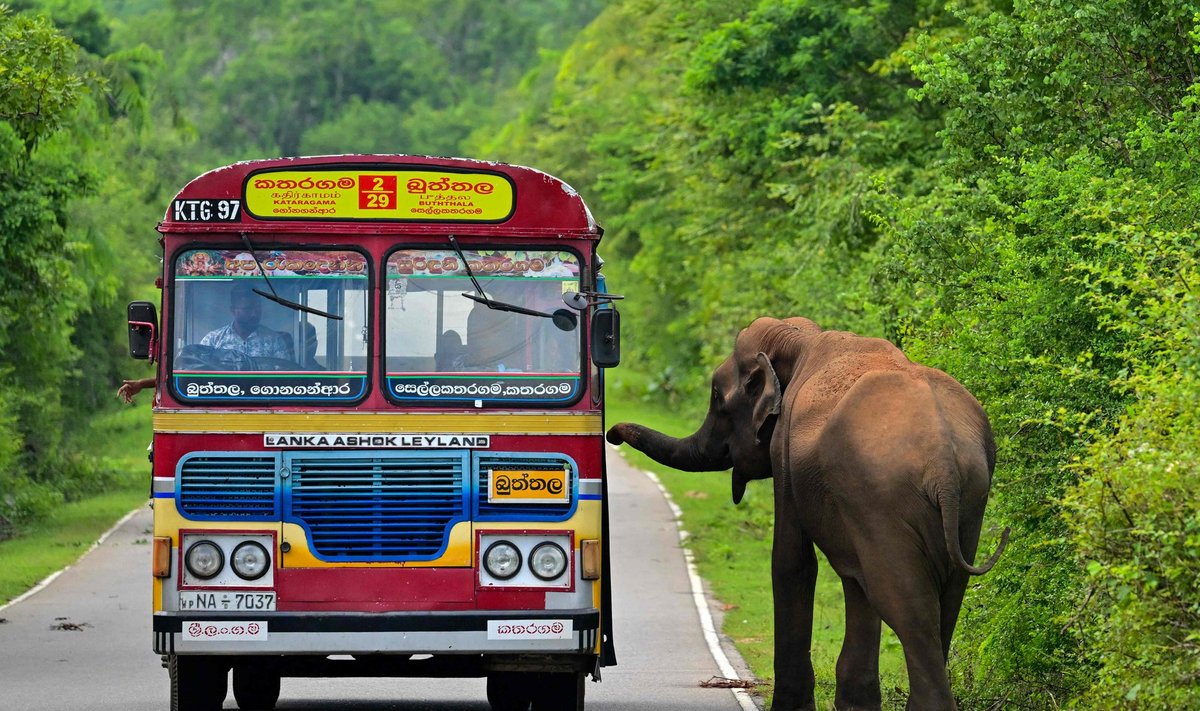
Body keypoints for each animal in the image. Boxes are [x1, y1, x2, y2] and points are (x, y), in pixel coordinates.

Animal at [604, 317, 1008, 711]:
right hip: (968, 503)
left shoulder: (785, 451)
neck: (799, 338)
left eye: (717, 397)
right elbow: (853, 580)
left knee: (906, 602)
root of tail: (943, 463)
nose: (612, 434)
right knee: (944, 597)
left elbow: (792, 562)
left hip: (884, 495)